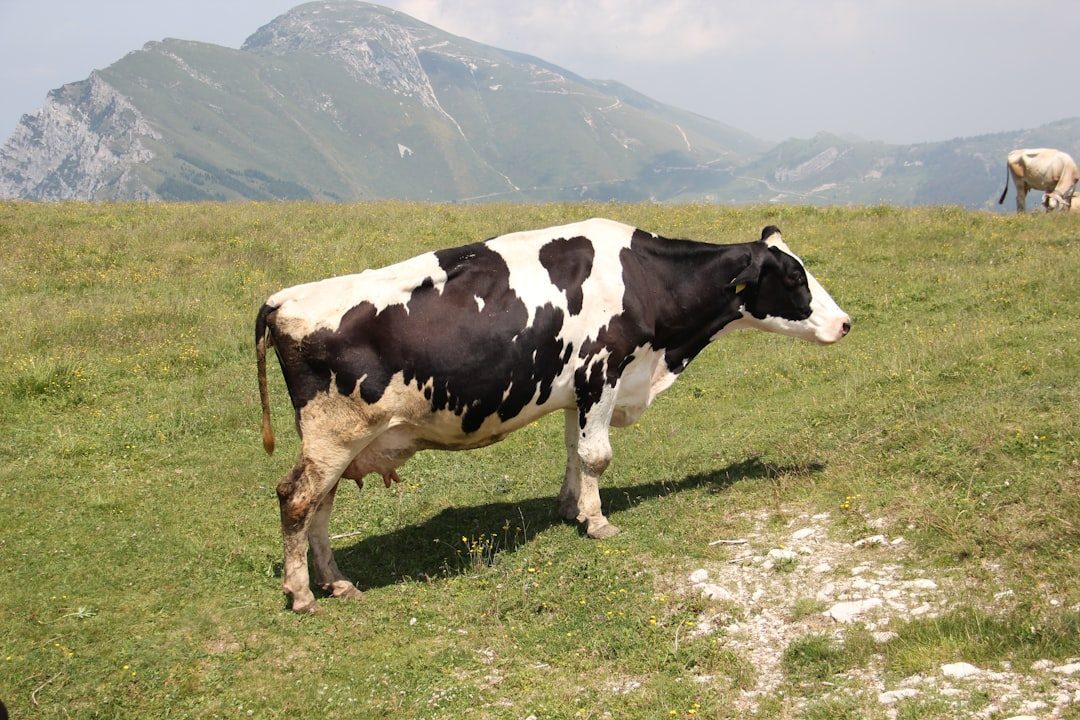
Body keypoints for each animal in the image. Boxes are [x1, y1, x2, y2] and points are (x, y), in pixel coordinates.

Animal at [255, 218, 851, 612]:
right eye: (794, 278)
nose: (845, 323)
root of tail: (282, 299)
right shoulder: (604, 370)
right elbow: (598, 455)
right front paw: (599, 521)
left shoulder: (579, 389)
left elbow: (574, 450)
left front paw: (571, 508)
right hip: (334, 433)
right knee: (297, 498)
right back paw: (303, 593)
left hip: (339, 442)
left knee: (321, 506)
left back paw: (336, 582)